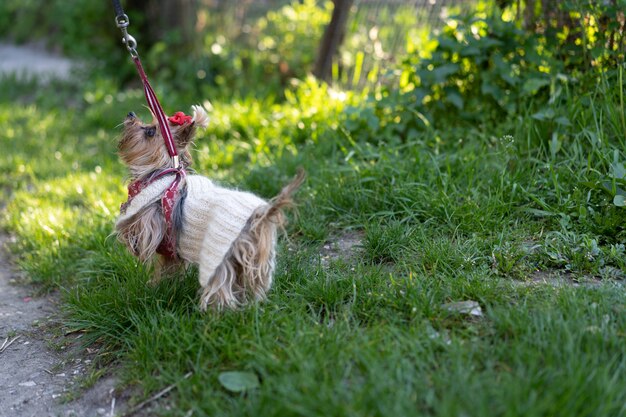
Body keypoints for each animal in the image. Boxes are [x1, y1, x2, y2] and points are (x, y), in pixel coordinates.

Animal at [116, 105, 304, 308]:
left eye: (150, 131)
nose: (130, 114)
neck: (162, 173)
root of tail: (259, 215)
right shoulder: (171, 252)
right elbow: (167, 269)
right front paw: (158, 285)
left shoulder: (151, 221)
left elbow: (137, 232)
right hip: (255, 255)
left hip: (219, 254)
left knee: (221, 285)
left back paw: (215, 311)